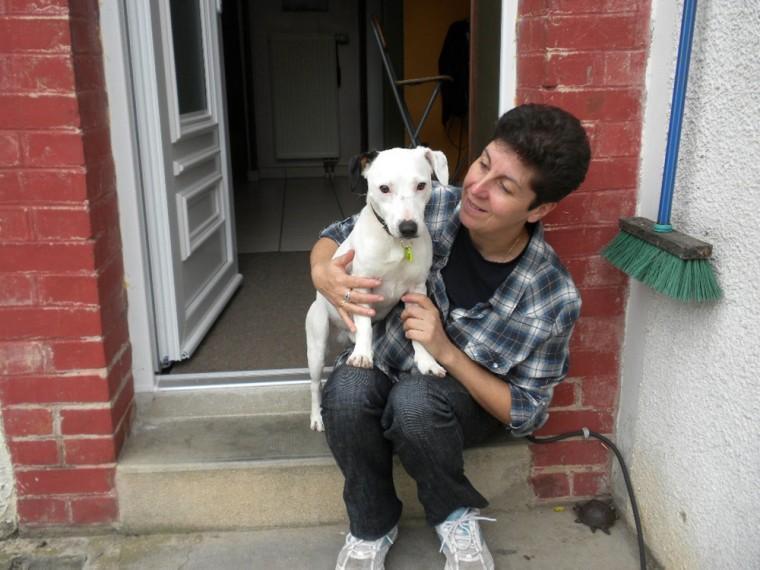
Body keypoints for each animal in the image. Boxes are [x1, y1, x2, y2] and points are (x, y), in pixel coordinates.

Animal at [306, 148, 448, 430]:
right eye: (384, 188)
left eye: (421, 185)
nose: (408, 228)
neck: (396, 245)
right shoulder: (362, 286)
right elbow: (363, 327)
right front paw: (362, 355)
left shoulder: (417, 291)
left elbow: (418, 332)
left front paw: (427, 361)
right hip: (316, 345)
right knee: (315, 385)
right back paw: (317, 417)